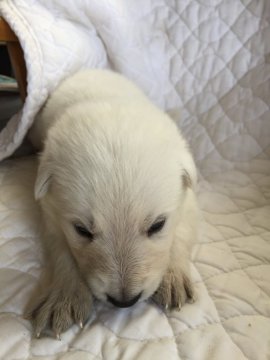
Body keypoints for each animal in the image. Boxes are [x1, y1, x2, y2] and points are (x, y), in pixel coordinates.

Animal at [27, 69, 198, 338]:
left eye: (157, 225)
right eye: (82, 230)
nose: (124, 300)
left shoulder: (188, 199)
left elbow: (181, 232)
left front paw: (173, 279)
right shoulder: (49, 208)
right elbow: (60, 248)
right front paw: (64, 297)